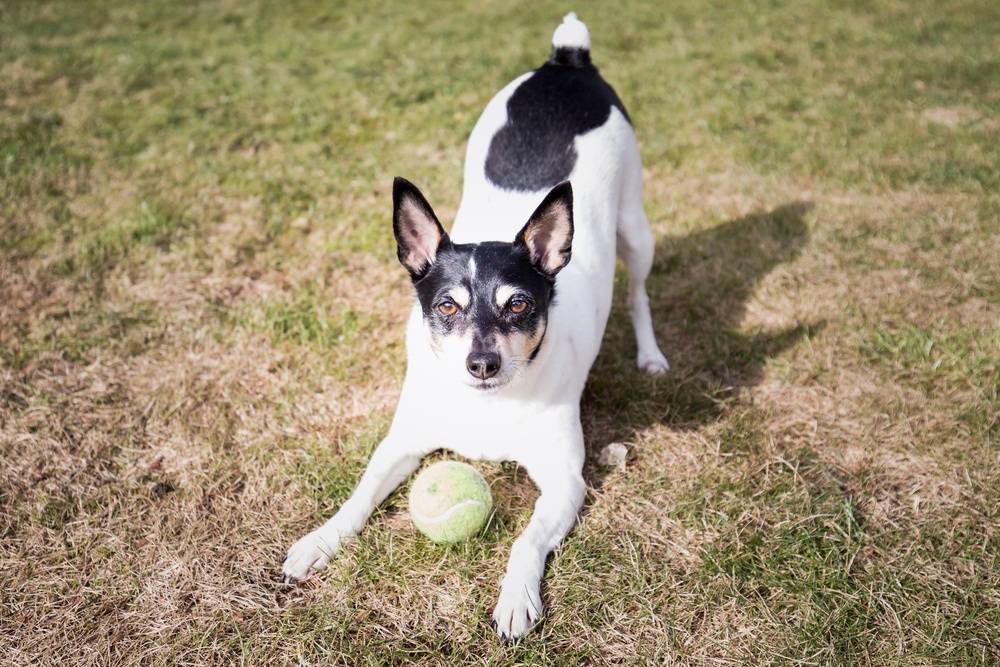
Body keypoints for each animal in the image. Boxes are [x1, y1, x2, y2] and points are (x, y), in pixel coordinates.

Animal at [282, 11, 668, 640]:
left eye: (518, 305)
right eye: (446, 306)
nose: (481, 362)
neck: (489, 403)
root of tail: (566, 63)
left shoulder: (565, 480)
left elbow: (525, 541)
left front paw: (516, 596)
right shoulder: (400, 445)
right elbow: (358, 498)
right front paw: (320, 541)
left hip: (636, 229)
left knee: (637, 293)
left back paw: (651, 355)